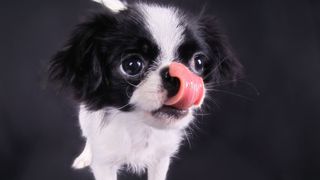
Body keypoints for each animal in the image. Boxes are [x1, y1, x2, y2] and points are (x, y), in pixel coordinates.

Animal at [48, 0, 241, 180]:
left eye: (198, 62)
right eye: (132, 65)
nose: (177, 75)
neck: (140, 127)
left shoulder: (161, 158)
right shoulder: (104, 163)